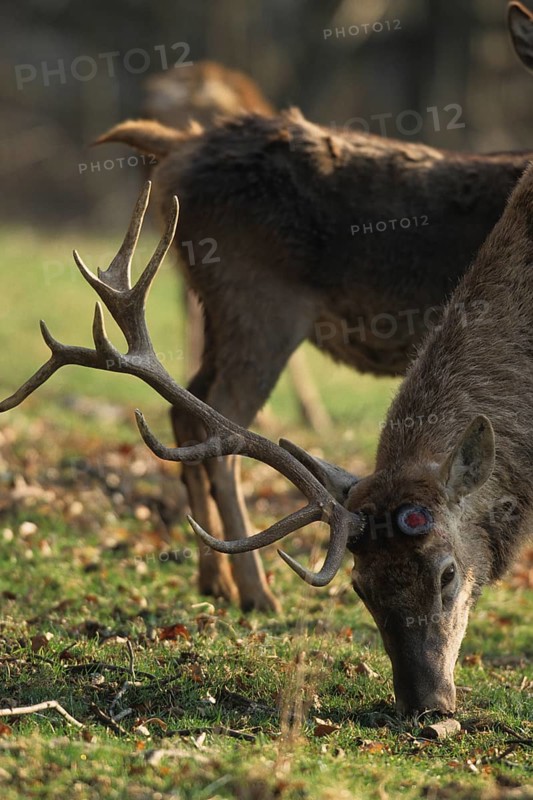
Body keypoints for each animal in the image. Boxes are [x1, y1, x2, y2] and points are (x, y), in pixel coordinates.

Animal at [87, 2, 533, 615]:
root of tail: (179, 145)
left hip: (220, 304)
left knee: (188, 407)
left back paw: (214, 579)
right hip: (258, 302)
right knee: (219, 416)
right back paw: (255, 590)